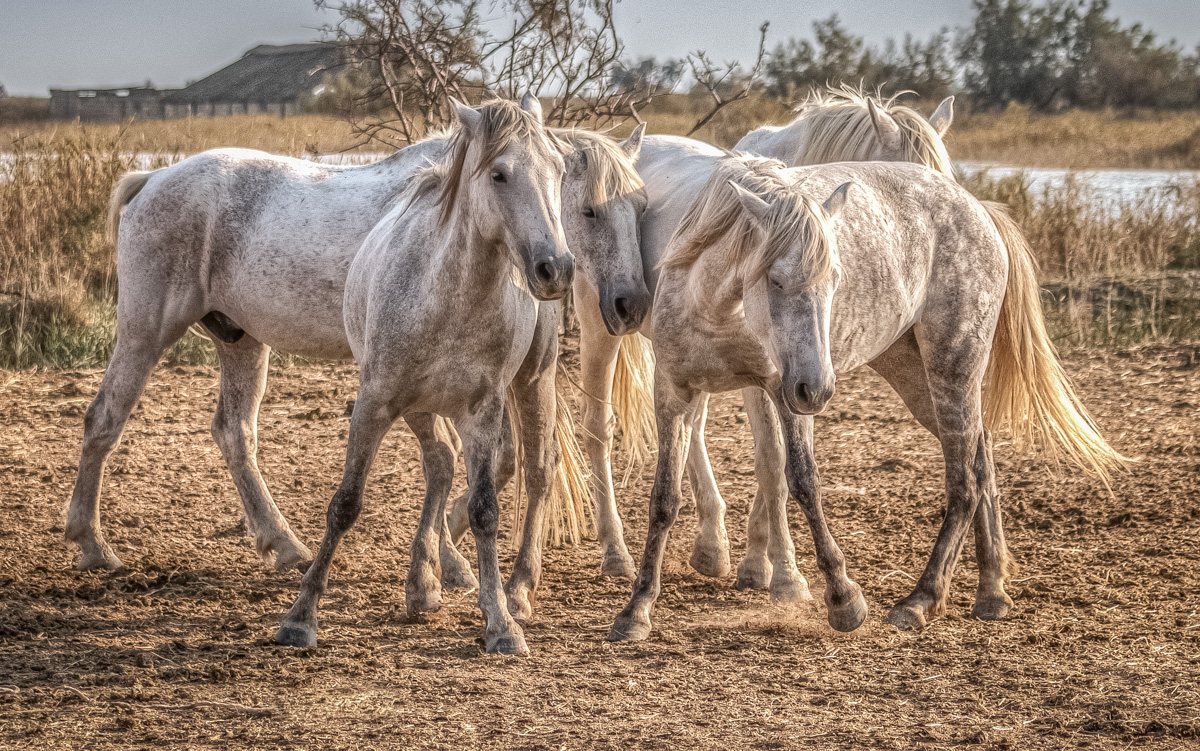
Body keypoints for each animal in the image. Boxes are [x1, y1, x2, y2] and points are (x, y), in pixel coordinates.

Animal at [609, 154, 1123, 638]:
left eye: (836, 279)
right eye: (775, 279)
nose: (818, 387)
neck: (718, 309)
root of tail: (976, 207)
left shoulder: (783, 394)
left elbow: (803, 482)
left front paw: (843, 599)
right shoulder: (675, 393)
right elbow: (664, 497)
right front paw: (636, 608)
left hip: (952, 370)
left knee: (964, 482)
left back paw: (920, 600)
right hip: (916, 380)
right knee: (982, 463)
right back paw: (990, 591)